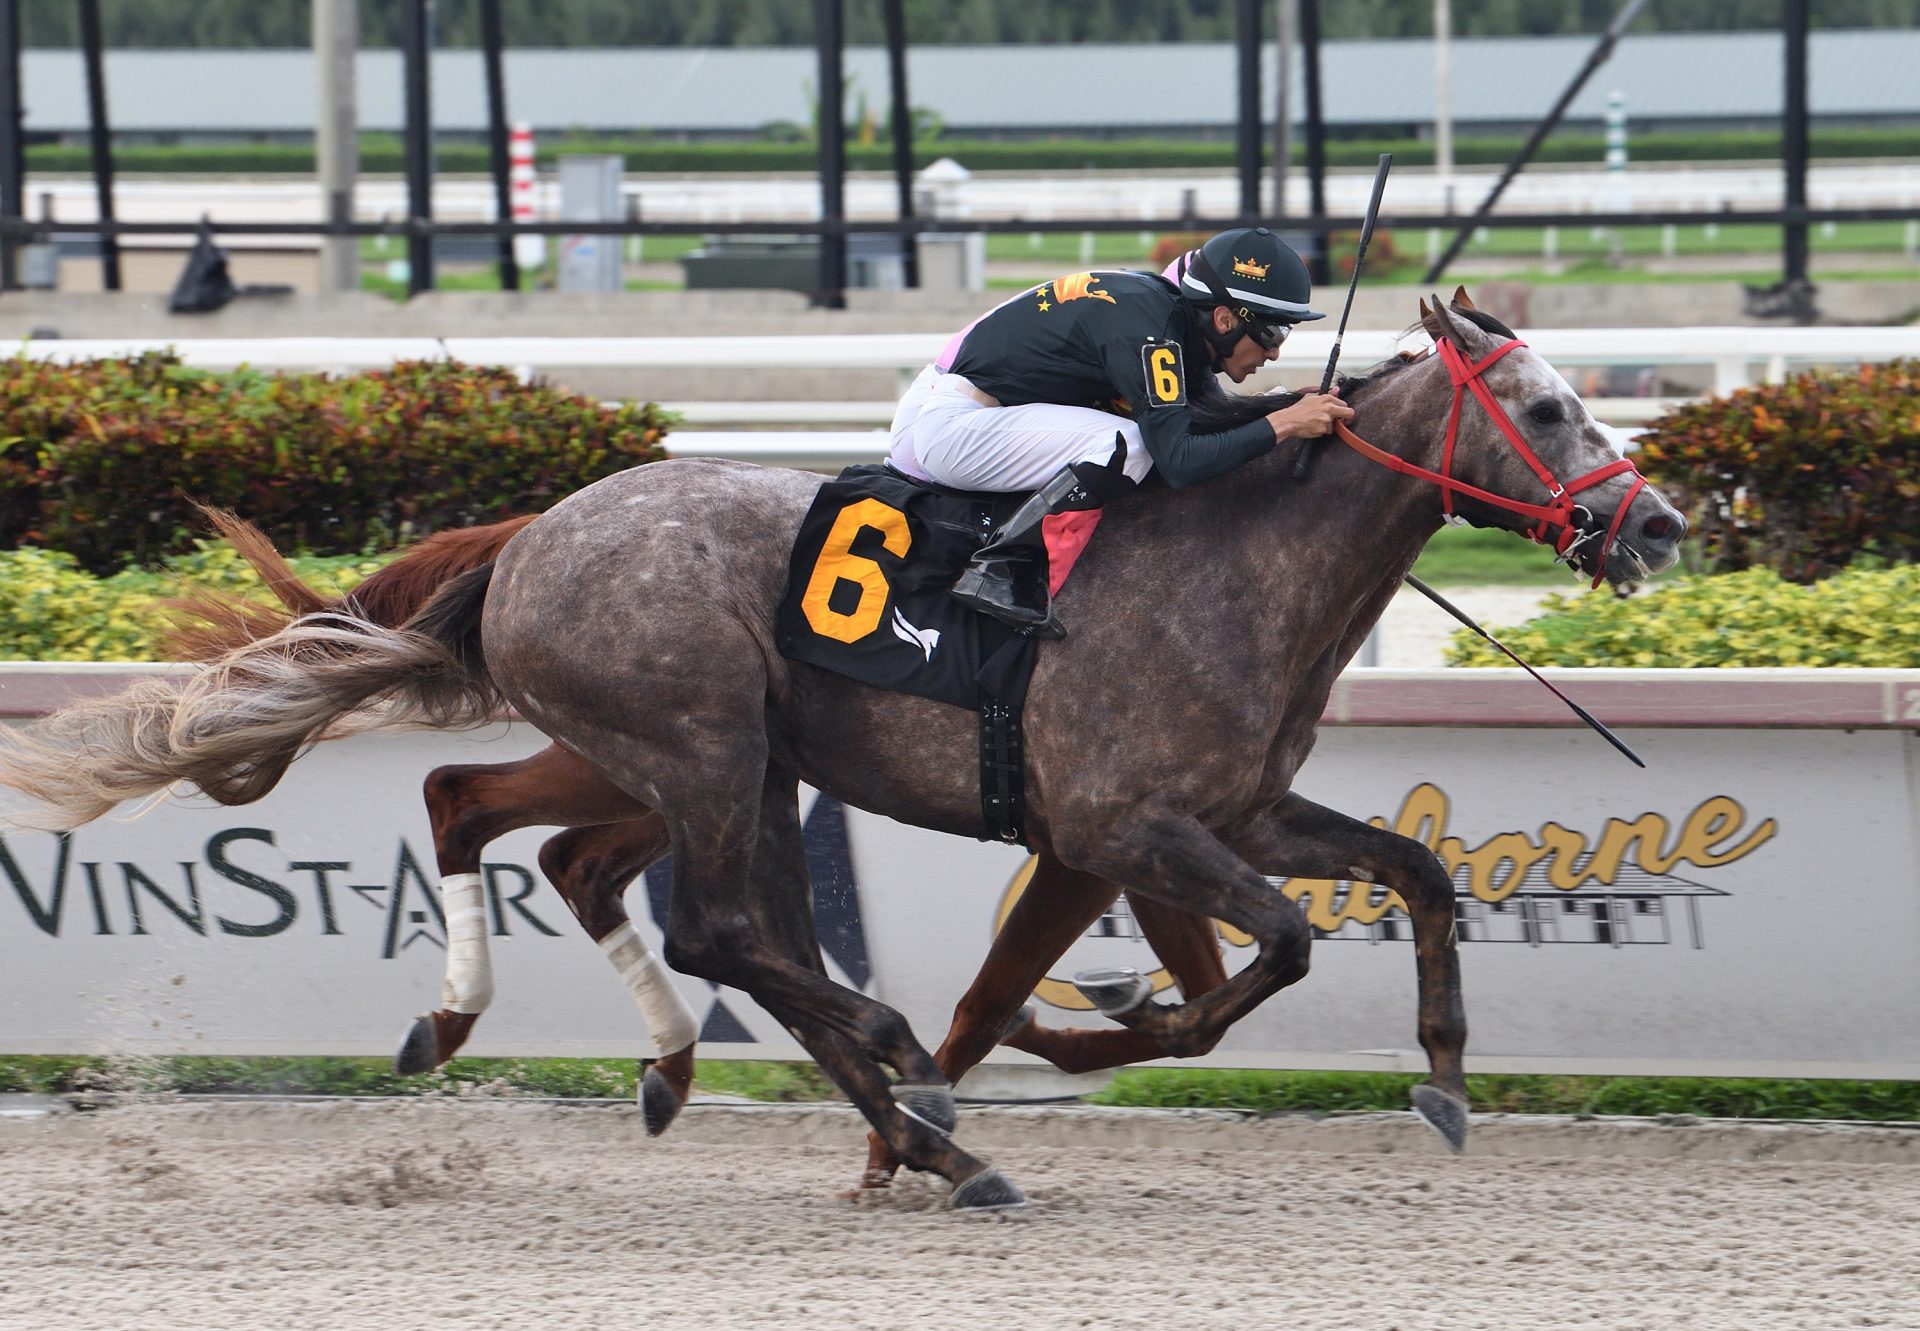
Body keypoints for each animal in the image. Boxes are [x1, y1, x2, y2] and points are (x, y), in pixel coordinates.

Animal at [0, 295, 1681, 1206]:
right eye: (1546, 406)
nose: (1655, 523)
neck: (1231, 557)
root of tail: (537, 532)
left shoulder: (1242, 807)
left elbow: (1414, 875)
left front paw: (1446, 1079)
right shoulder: (1119, 823)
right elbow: (1261, 953)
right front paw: (1081, 1032)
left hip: (701, 760)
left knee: (519, 826)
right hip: (701, 742)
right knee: (719, 926)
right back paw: (899, 1092)